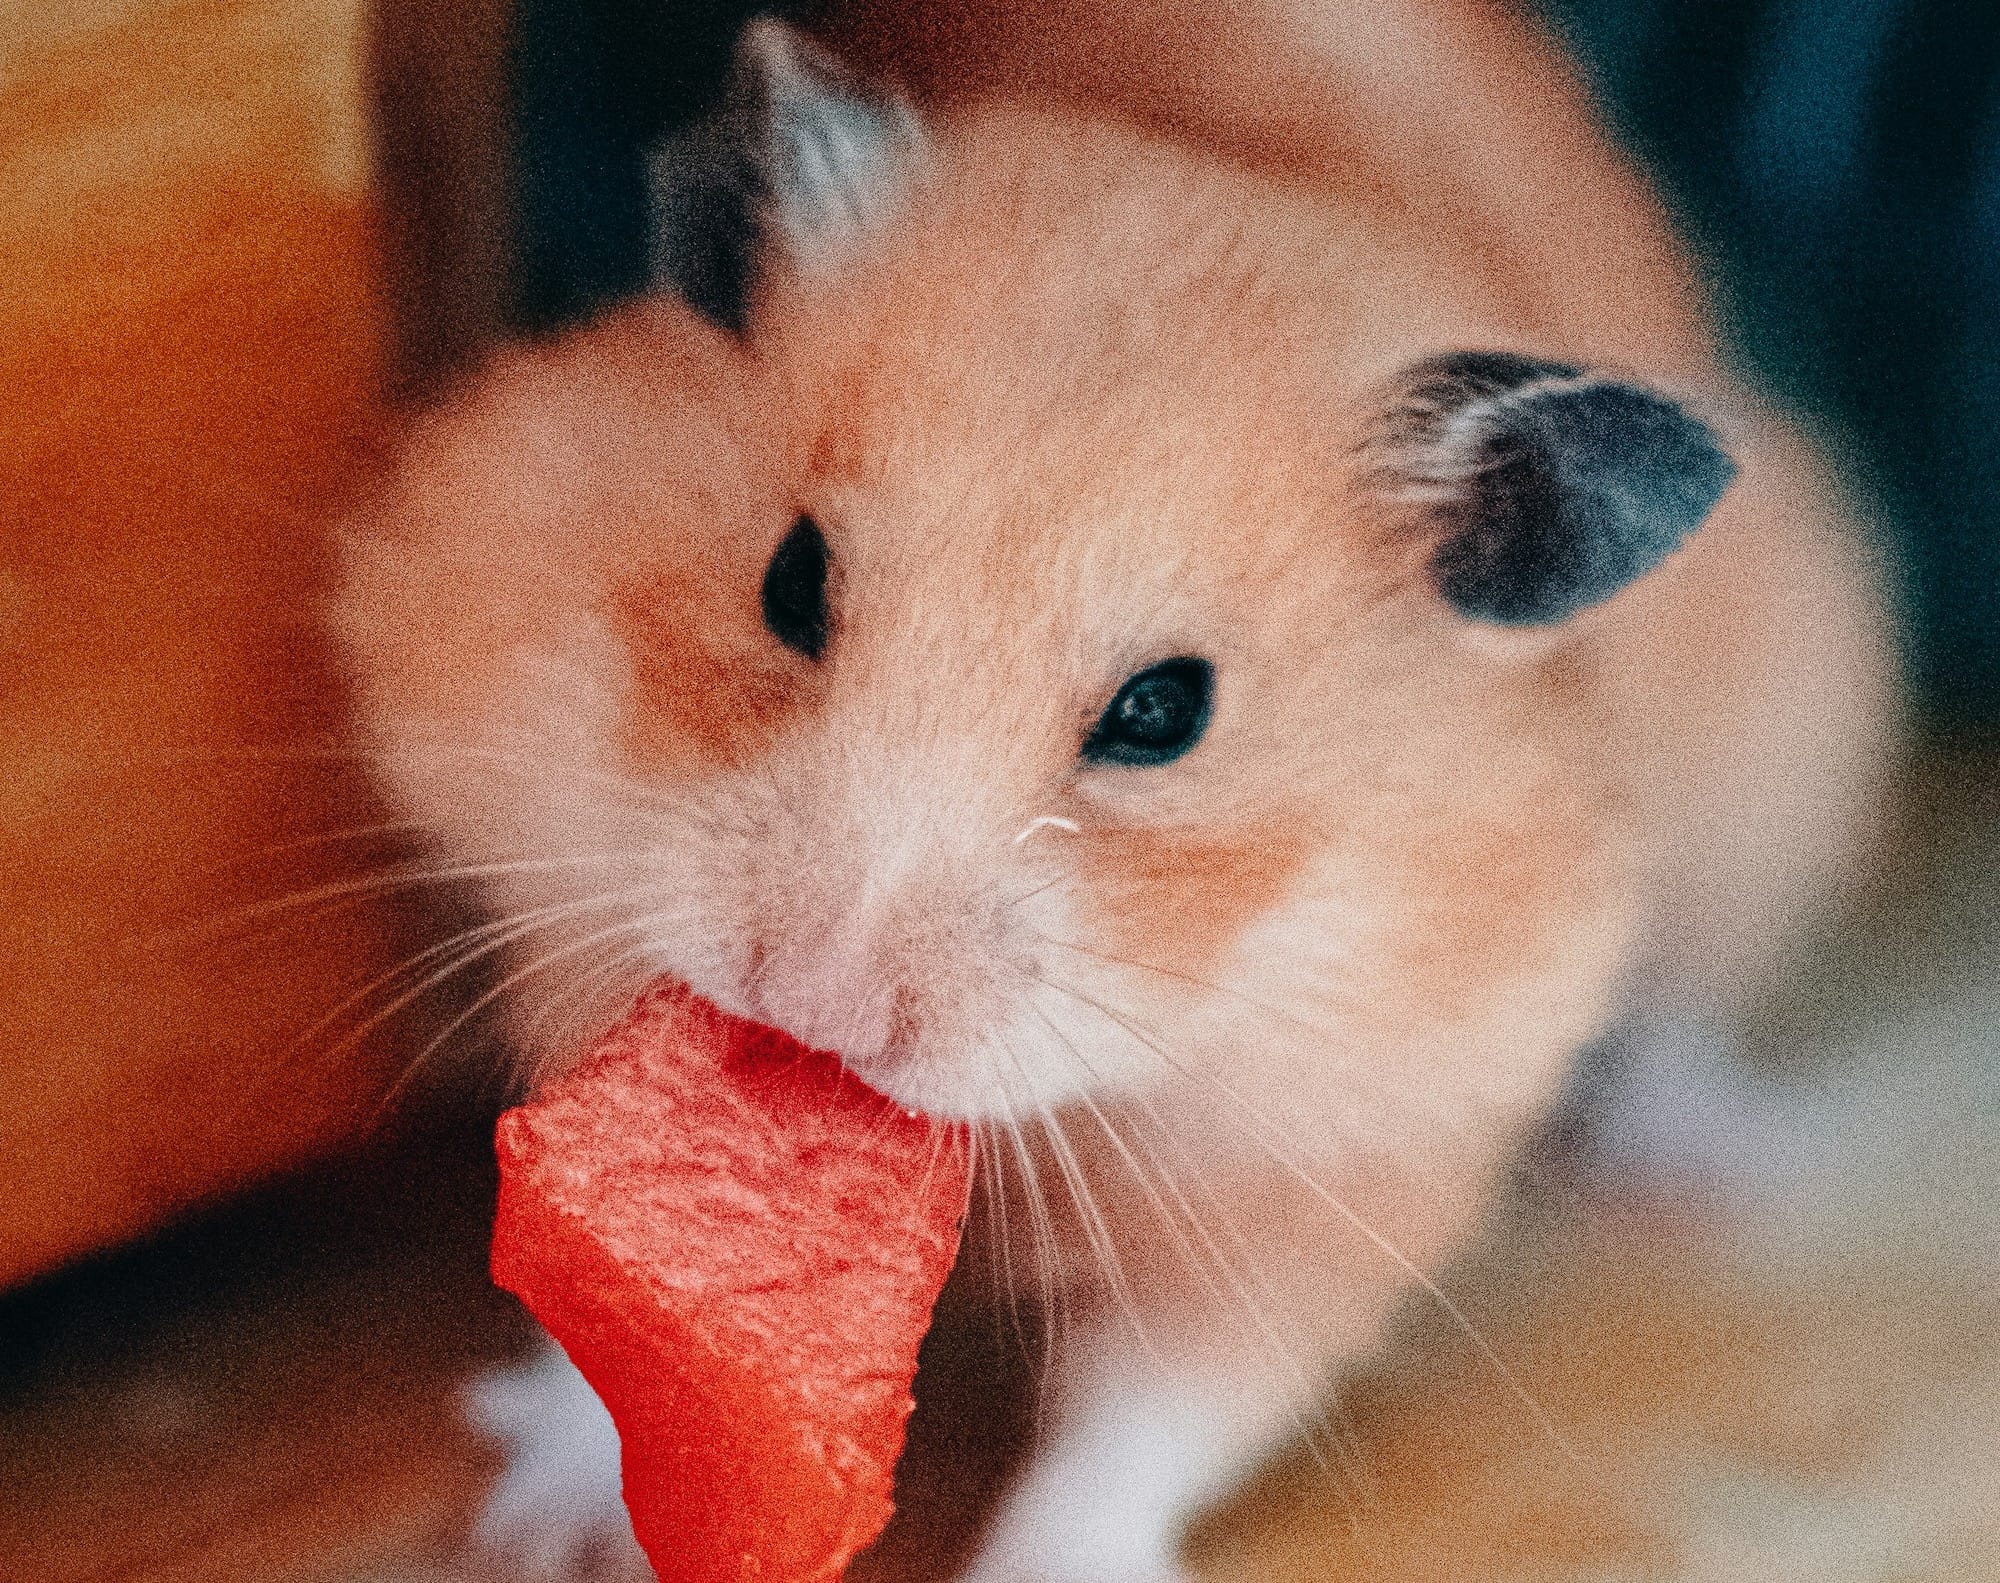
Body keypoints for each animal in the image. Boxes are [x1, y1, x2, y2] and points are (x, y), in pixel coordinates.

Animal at [333, 8, 1896, 1579]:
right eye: (790, 581)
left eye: (1164, 712)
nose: (814, 1003)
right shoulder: (562, 915)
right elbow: (602, 1299)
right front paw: (529, 1524)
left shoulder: (1339, 1155)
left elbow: (1148, 1415)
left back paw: (1706, 1174)